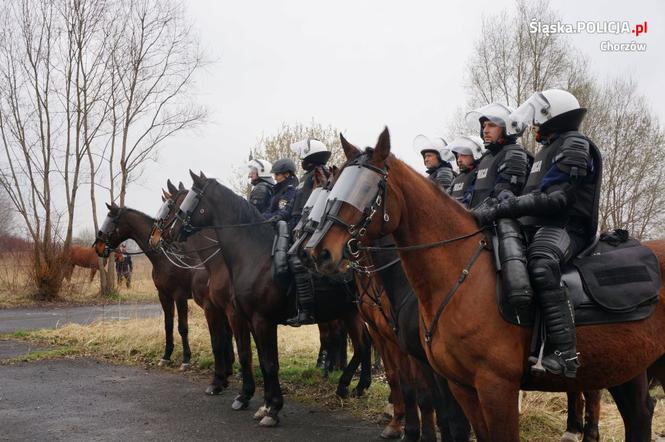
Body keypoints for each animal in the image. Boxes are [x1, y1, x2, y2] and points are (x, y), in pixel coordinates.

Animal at [306, 129, 660, 442]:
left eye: (367, 187)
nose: (317, 251)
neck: (460, 275)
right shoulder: (452, 378)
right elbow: (432, 406)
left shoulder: (494, 386)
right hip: (625, 368)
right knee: (638, 415)